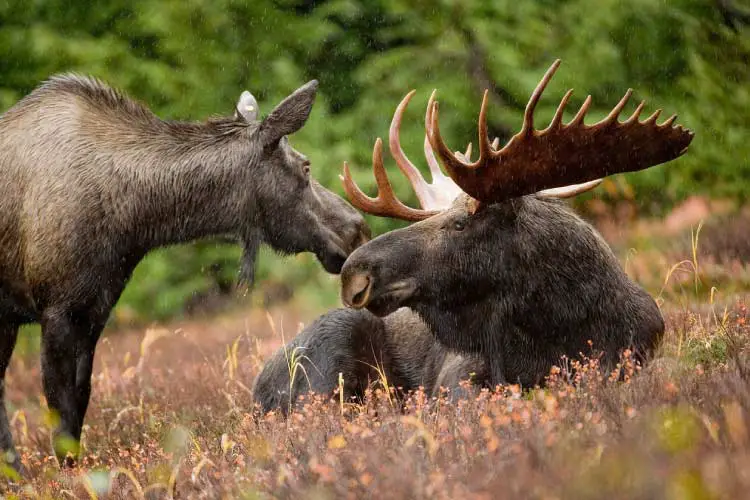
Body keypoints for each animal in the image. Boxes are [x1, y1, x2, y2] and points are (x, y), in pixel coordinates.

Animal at [0, 72, 370, 470]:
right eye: (305, 166)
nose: (357, 228)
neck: (133, 218)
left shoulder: (93, 310)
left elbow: (80, 401)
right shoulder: (56, 310)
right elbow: (61, 414)